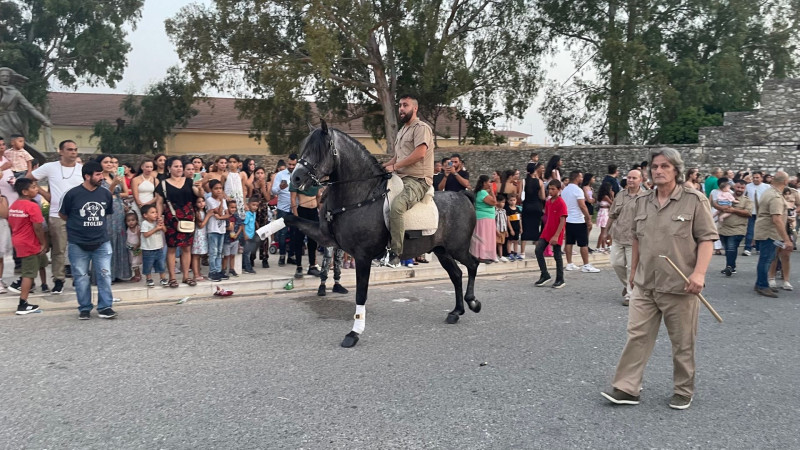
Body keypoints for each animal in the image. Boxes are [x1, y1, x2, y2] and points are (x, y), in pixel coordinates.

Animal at [286, 120, 482, 348]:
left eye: (320, 149)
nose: (295, 178)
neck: (360, 196)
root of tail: (464, 196)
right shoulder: (326, 237)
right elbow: (289, 219)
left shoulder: (362, 256)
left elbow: (361, 294)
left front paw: (354, 333)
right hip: (441, 250)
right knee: (457, 274)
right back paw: (456, 311)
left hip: (457, 248)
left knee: (473, 264)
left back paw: (473, 302)